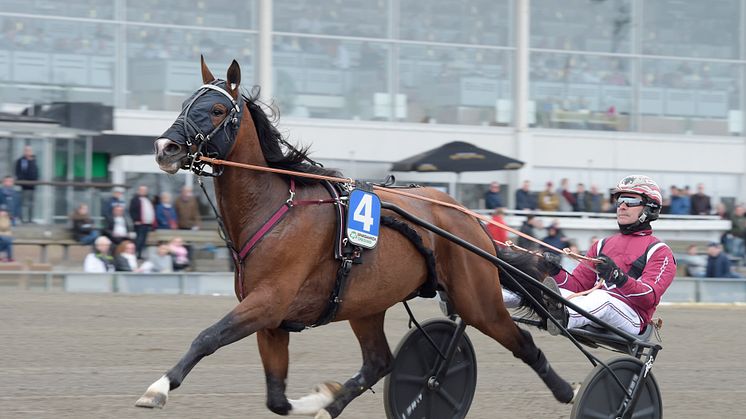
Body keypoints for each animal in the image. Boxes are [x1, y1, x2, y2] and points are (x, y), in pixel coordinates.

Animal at [137, 57, 572, 418]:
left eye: (216, 109)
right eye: (183, 103)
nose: (165, 147)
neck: (276, 208)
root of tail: (469, 219)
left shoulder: (267, 302)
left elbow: (208, 337)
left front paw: (157, 388)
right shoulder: (272, 320)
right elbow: (276, 398)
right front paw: (320, 398)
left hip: (477, 300)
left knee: (520, 341)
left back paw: (567, 390)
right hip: (367, 304)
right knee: (379, 362)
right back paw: (333, 406)